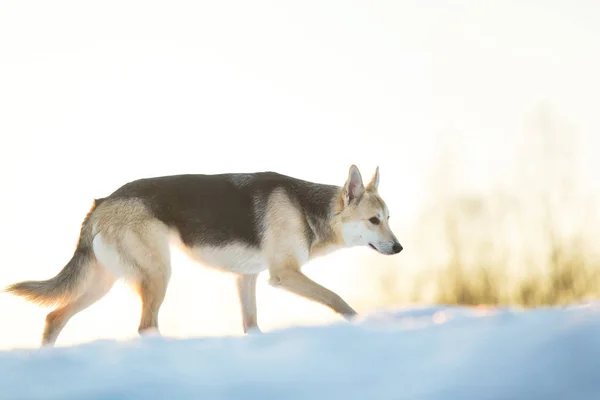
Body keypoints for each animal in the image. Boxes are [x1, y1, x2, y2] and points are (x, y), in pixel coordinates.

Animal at [4, 164, 404, 346]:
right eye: (373, 220)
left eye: (388, 219)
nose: (399, 248)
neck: (307, 208)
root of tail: (102, 203)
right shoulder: (285, 274)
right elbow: (337, 299)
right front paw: (364, 325)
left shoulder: (247, 278)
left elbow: (251, 324)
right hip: (157, 276)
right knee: (145, 326)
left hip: (104, 282)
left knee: (54, 318)